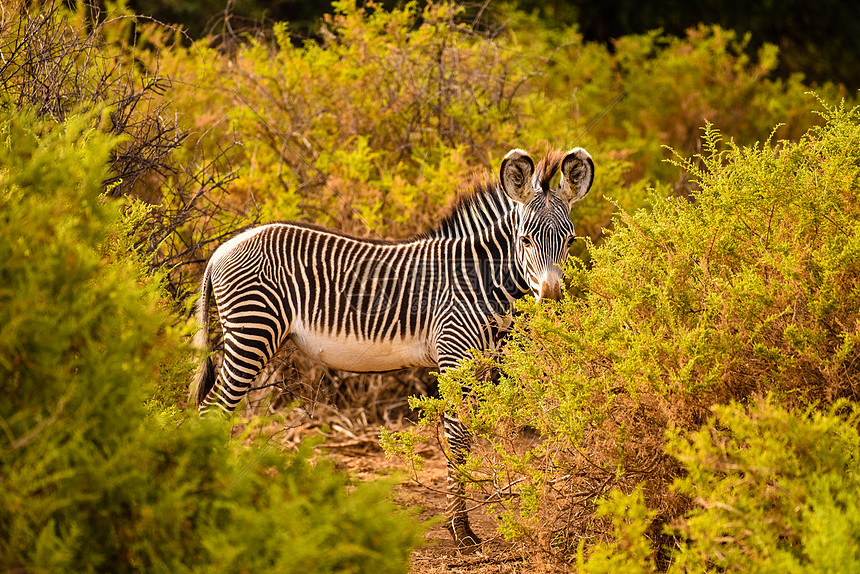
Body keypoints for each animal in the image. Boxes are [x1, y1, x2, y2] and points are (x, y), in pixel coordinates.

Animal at [193, 148, 596, 552]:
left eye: (571, 241)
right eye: (525, 241)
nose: (552, 300)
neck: (480, 278)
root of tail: (221, 250)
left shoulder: (481, 363)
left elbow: (467, 437)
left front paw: (461, 524)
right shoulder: (454, 353)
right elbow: (457, 438)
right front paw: (461, 530)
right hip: (253, 331)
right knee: (213, 410)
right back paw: (210, 505)